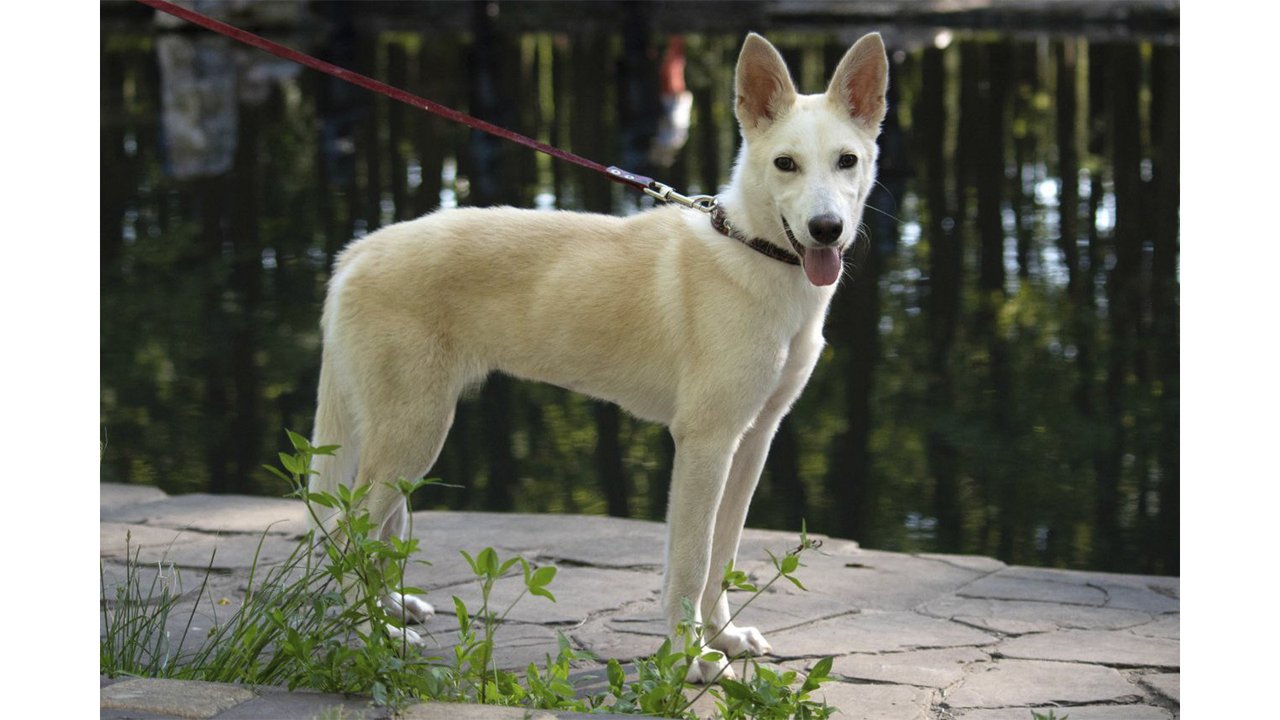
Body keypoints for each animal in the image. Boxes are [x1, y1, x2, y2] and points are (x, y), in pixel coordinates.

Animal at [311, 29, 890, 676]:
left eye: (847, 160)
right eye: (785, 163)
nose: (826, 229)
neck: (754, 250)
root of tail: (358, 251)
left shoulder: (753, 439)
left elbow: (723, 552)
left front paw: (722, 637)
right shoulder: (705, 442)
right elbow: (691, 562)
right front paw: (690, 657)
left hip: (407, 435)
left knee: (378, 531)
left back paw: (391, 609)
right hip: (413, 430)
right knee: (345, 531)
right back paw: (371, 638)